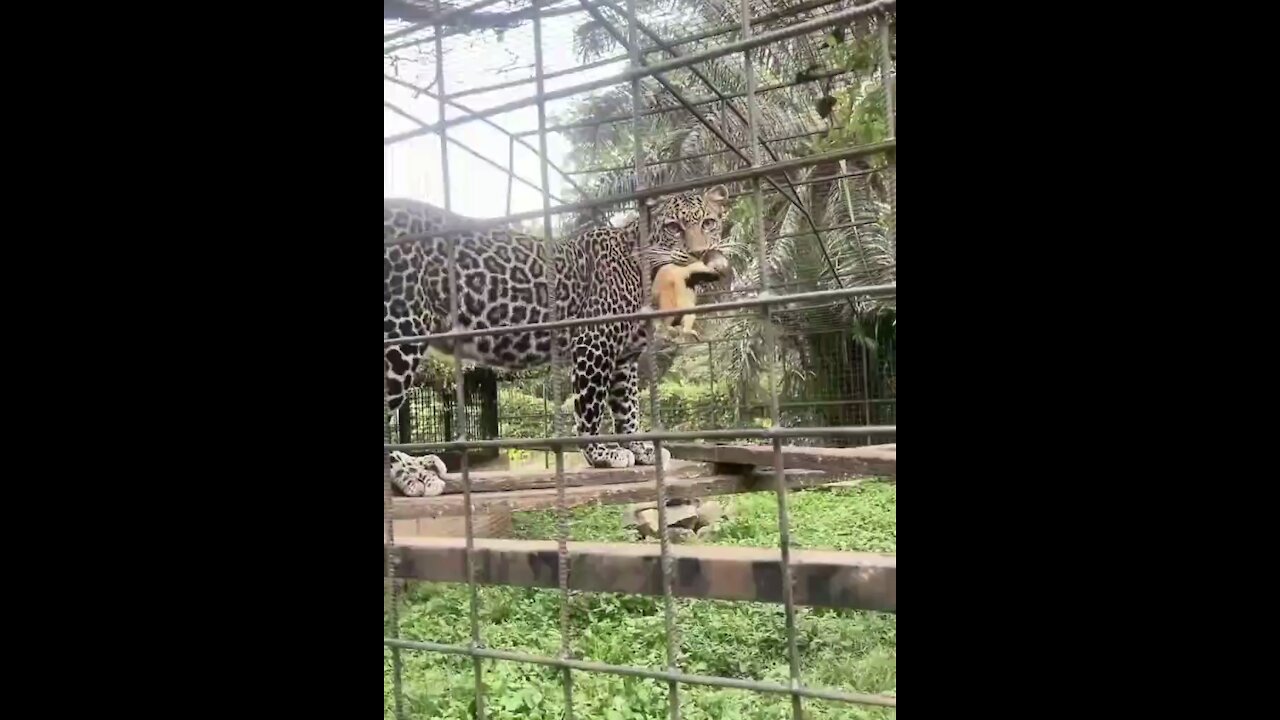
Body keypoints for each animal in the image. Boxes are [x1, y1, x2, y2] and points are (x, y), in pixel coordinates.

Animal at [384, 183, 732, 491]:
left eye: (709, 223)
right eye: (673, 227)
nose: (699, 253)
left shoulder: (624, 359)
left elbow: (628, 407)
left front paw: (641, 448)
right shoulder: (594, 343)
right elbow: (591, 408)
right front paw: (601, 454)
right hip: (400, 332)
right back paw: (411, 473)